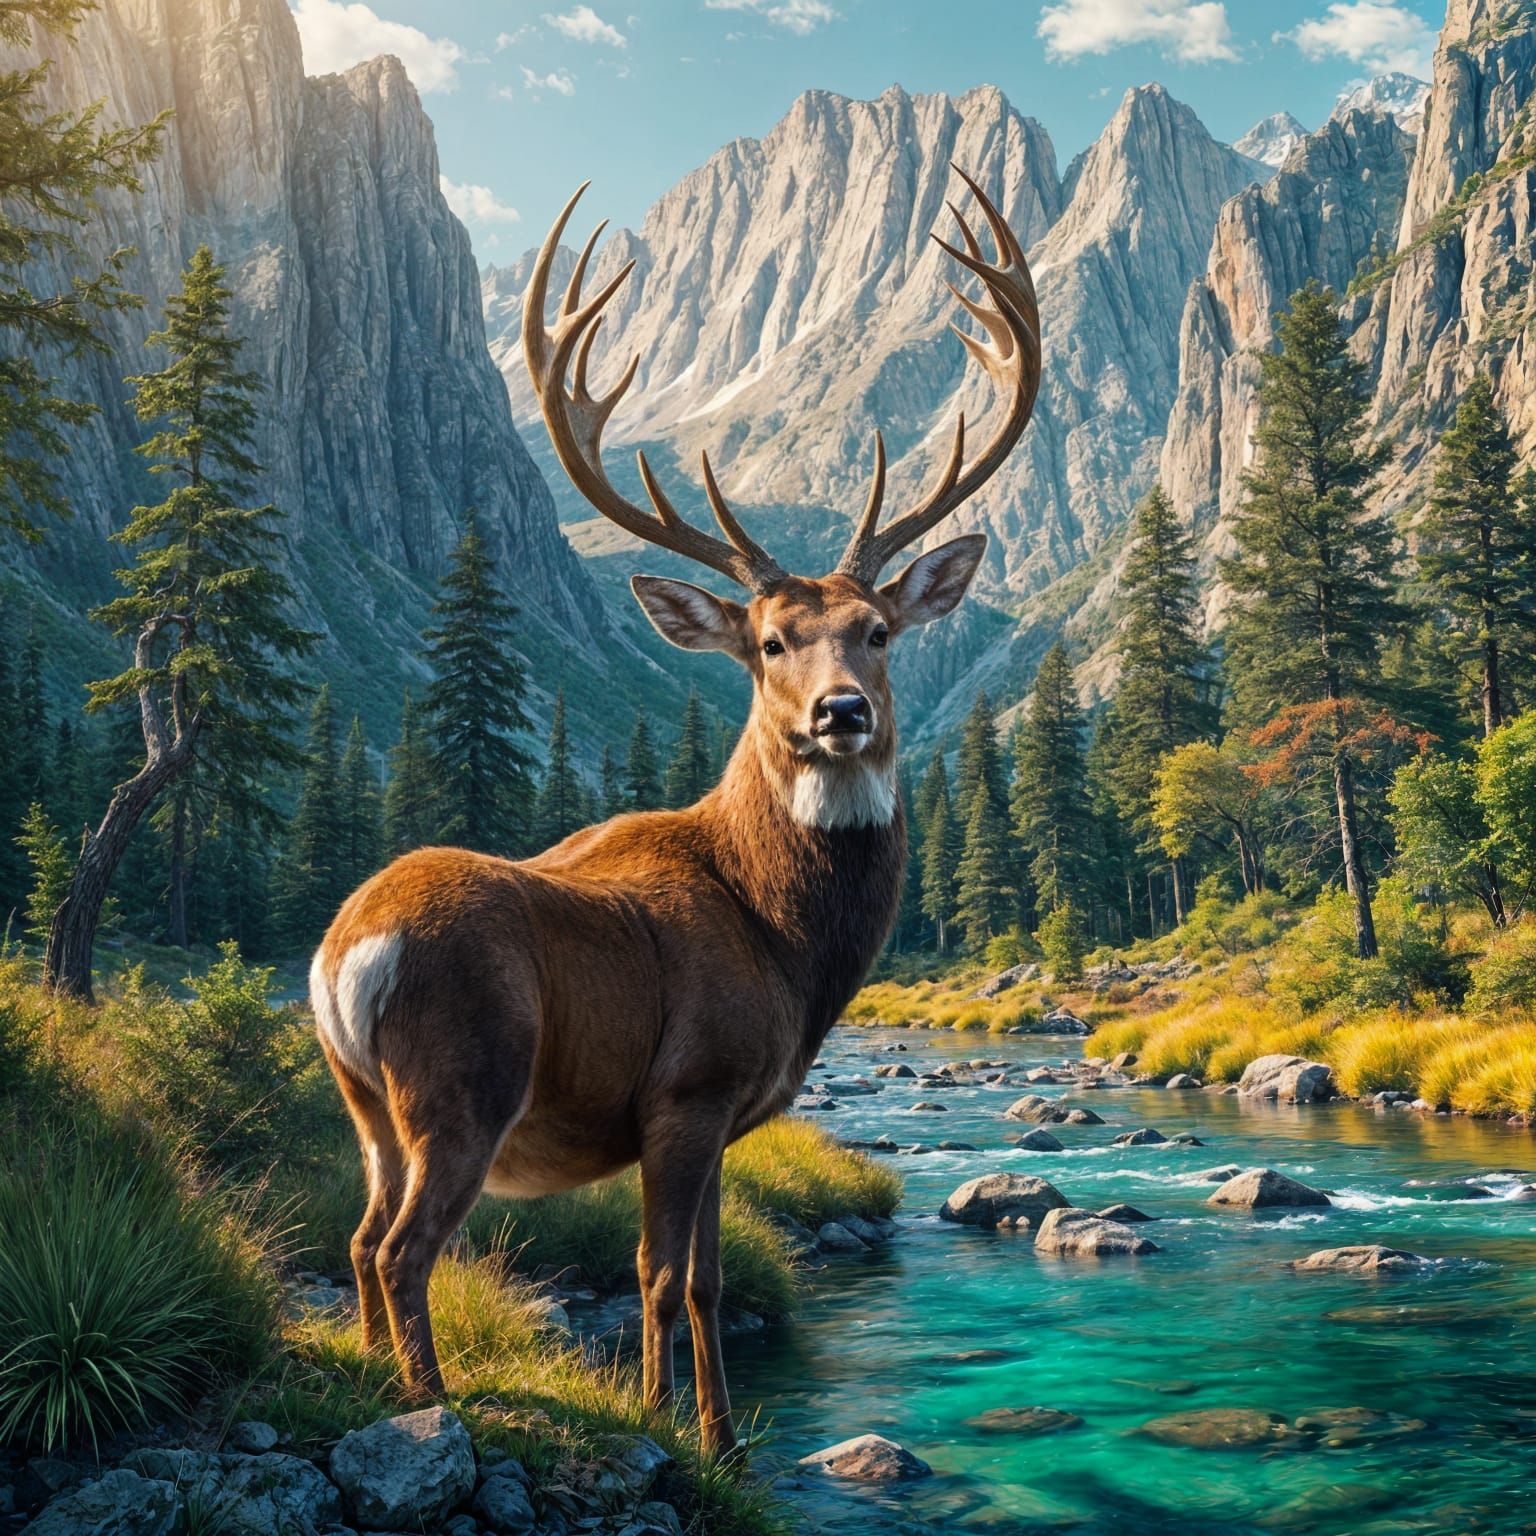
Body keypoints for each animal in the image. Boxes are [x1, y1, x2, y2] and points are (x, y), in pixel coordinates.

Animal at [309, 165, 1040, 1459]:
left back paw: (379, 1380)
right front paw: (687, 1432)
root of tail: (348, 951)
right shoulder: (690, 1087)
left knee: (355, 1237)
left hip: (364, 1108)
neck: (782, 938)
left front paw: (704, 1428)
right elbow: (669, 1277)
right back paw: (433, 1403)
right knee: (401, 1249)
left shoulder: (718, 1113)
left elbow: (694, 1274)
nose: (843, 712)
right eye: (769, 643)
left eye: (879, 630)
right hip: (463, 1080)